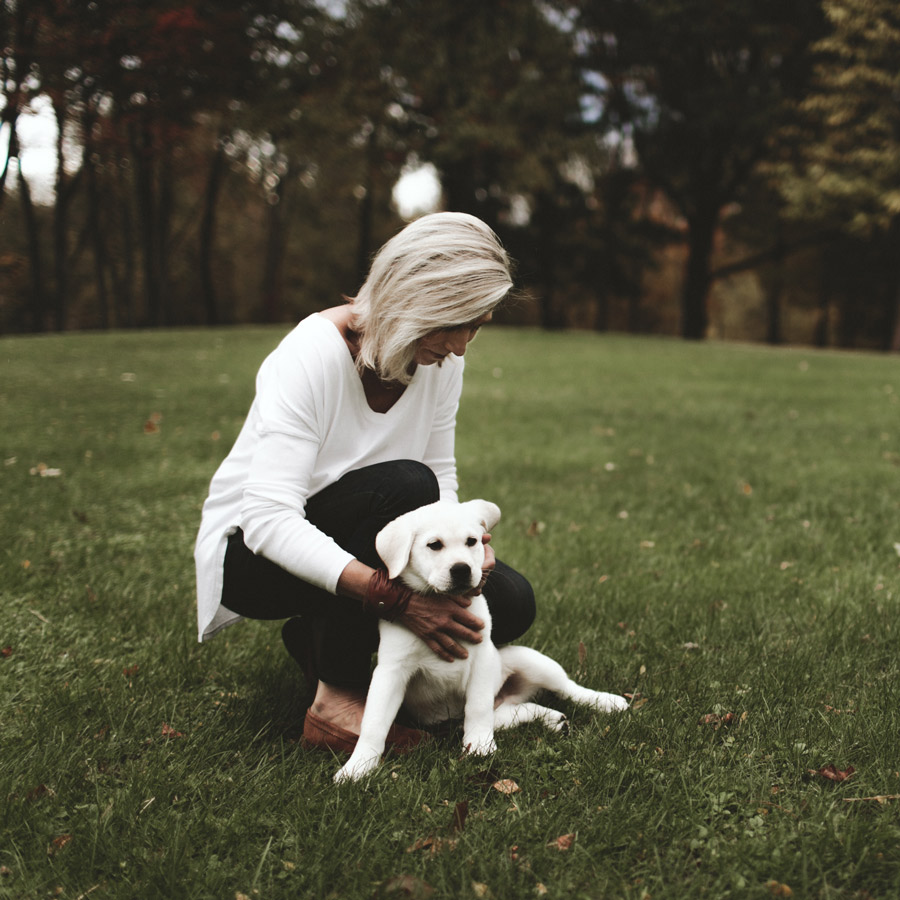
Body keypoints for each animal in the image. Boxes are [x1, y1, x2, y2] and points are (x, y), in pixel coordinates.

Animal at [334, 500, 628, 780]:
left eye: (472, 541)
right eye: (434, 545)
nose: (462, 570)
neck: (443, 602)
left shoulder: (483, 658)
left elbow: (477, 707)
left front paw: (479, 747)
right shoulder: (391, 671)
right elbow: (374, 723)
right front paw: (358, 767)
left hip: (528, 659)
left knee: (568, 688)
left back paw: (607, 702)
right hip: (502, 712)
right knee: (521, 709)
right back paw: (554, 719)